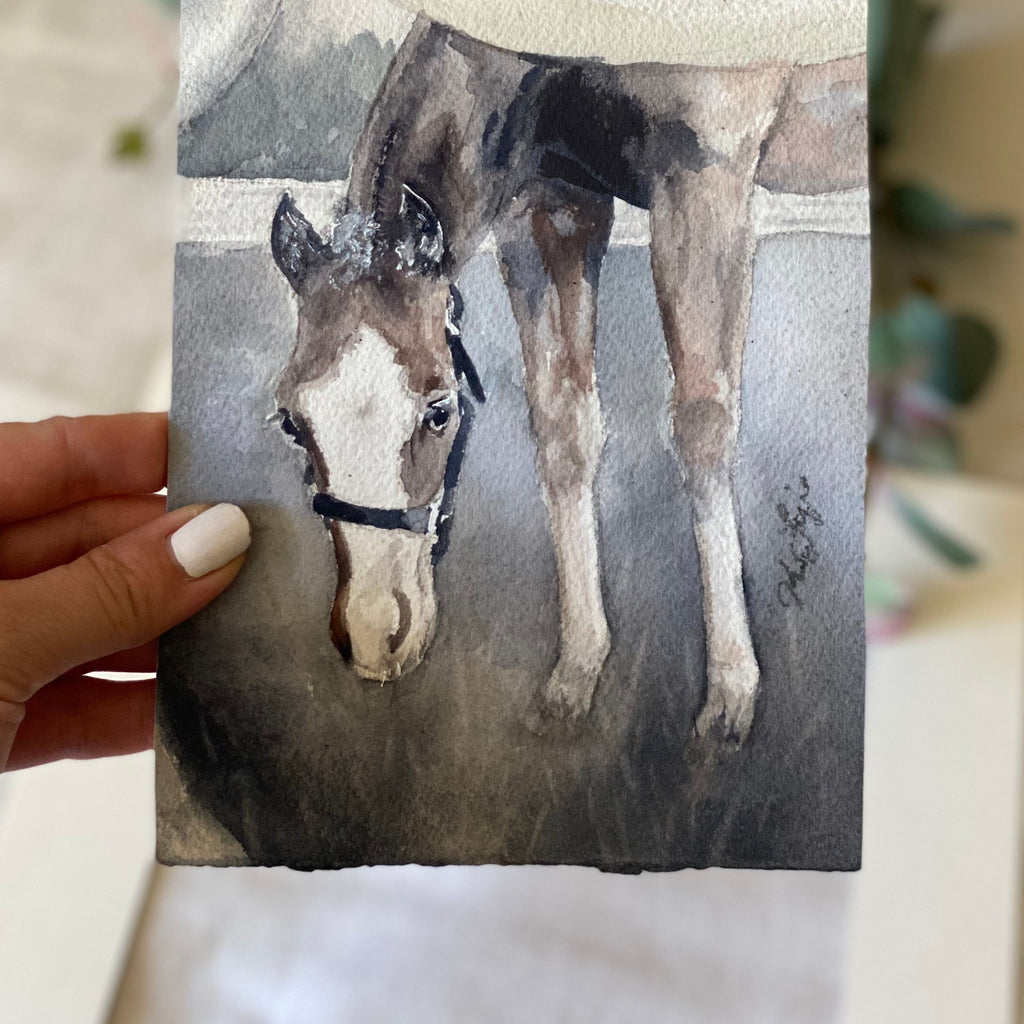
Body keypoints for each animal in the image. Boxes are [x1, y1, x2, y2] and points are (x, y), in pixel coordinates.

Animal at [271, 15, 866, 740]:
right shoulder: (554, 207)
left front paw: (730, 690)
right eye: (292, 422)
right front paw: (576, 671)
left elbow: (702, 423)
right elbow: (564, 430)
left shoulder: (706, 173)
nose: (374, 635)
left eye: (439, 410)